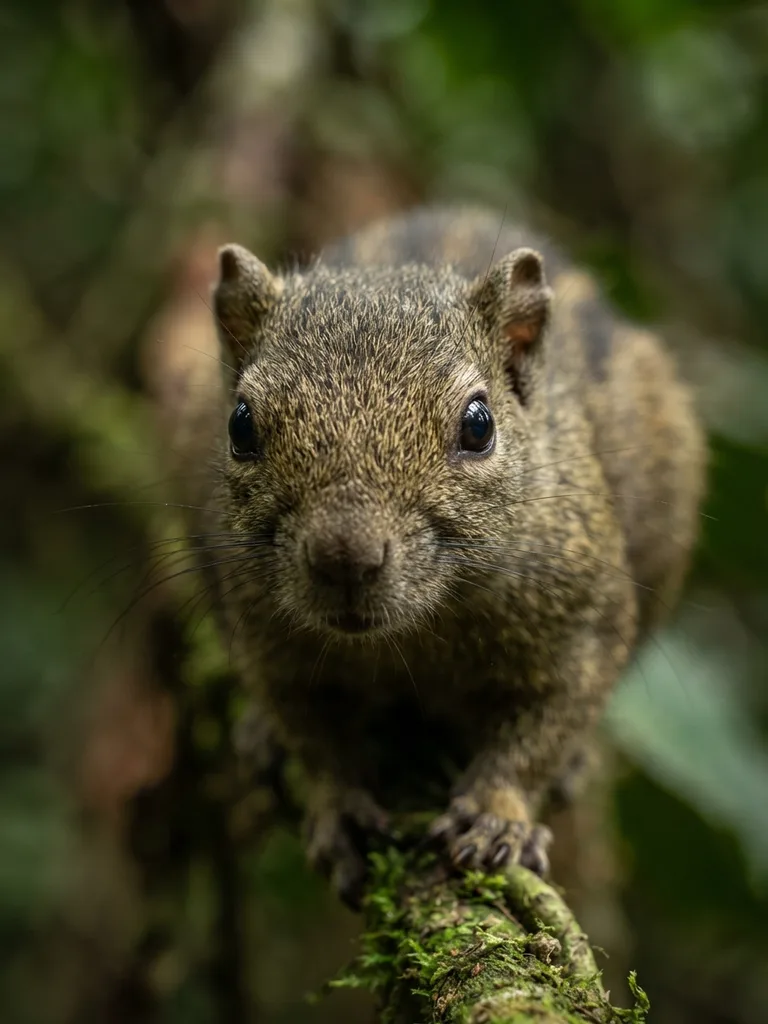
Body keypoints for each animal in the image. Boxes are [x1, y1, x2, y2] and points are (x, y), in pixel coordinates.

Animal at [165, 205, 706, 907]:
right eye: (239, 425)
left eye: (479, 425)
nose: (345, 558)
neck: (415, 637)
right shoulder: (265, 636)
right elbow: (308, 732)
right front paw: (337, 807)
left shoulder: (586, 618)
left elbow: (548, 724)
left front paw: (497, 814)